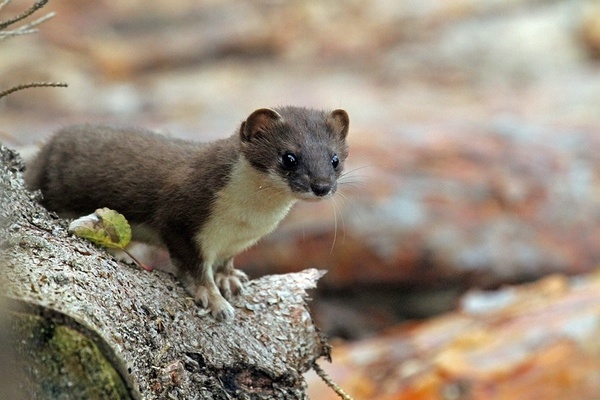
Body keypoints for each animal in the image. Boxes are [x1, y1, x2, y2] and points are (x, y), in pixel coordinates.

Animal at [25, 105, 350, 318]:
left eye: (335, 159)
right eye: (289, 157)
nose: (322, 186)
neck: (246, 220)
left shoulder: (235, 241)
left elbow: (224, 261)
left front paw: (229, 279)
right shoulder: (181, 218)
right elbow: (192, 265)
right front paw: (214, 300)